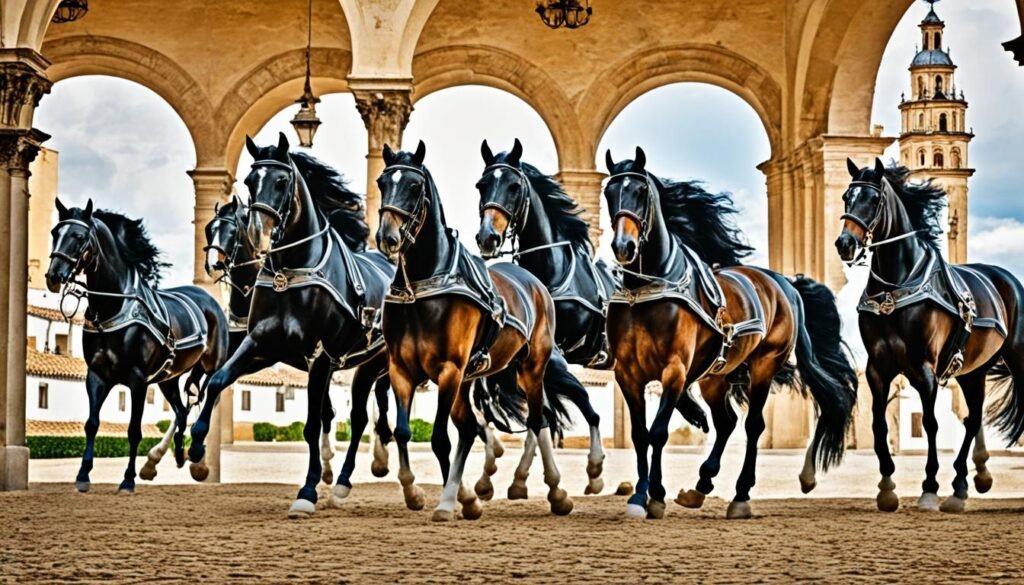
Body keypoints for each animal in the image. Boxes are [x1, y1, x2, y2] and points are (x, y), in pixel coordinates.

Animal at [44, 200, 230, 494]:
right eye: (55, 232)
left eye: (79, 236)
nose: (53, 275)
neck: (113, 307)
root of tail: (208, 299)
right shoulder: (97, 376)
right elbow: (91, 424)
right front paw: (83, 475)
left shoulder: (138, 380)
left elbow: (134, 430)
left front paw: (128, 479)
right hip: (168, 378)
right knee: (181, 411)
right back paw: (172, 456)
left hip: (211, 367)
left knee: (206, 399)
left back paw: (196, 455)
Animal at [189, 132, 396, 518]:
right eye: (250, 181)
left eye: (282, 181)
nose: (260, 234)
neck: (291, 270)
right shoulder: (260, 345)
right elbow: (217, 381)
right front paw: (196, 450)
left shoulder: (320, 356)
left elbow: (313, 423)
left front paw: (308, 489)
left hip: (374, 363)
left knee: (362, 416)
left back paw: (352, 474)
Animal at [377, 140, 573, 521]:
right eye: (381, 182)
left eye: (414, 186)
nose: (387, 237)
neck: (423, 287)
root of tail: (533, 282)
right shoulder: (401, 370)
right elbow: (404, 431)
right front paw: (415, 492)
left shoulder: (448, 370)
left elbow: (440, 439)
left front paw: (444, 503)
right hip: (471, 379)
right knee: (470, 427)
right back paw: (468, 496)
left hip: (531, 369)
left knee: (538, 420)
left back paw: (557, 492)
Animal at [604, 148, 857, 519]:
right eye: (609, 193)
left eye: (639, 192)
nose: (624, 246)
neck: (645, 289)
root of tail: (784, 284)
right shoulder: (627, 373)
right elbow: (639, 434)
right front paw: (640, 494)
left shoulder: (674, 370)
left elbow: (658, 432)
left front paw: (656, 494)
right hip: (715, 376)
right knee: (726, 422)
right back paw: (700, 485)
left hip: (764, 365)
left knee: (753, 425)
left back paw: (740, 494)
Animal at [836, 158, 1024, 513]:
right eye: (846, 197)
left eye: (874, 199)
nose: (845, 244)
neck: (895, 287)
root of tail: (1006, 278)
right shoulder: (877, 368)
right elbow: (879, 423)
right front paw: (887, 486)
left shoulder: (925, 369)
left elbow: (930, 423)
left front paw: (929, 487)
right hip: (973, 371)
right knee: (972, 419)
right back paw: (962, 486)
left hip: (1017, 360)